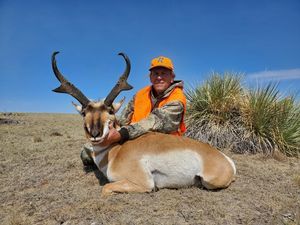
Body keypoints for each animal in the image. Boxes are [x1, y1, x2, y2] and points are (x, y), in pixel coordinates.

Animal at [51, 51, 236, 197]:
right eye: (84, 113)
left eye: (110, 111)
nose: (95, 134)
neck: (117, 151)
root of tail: (225, 159)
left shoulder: (143, 183)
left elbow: (105, 188)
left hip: (210, 181)